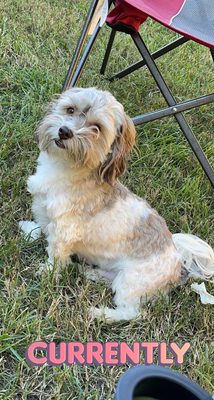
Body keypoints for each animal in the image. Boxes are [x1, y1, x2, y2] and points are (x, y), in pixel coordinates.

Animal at [19, 86, 213, 322]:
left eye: (97, 127)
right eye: (70, 109)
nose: (65, 131)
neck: (66, 167)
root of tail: (178, 266)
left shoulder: (64, 231)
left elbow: (55, 254)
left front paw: (46, 271)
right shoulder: (42, 207)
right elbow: (41, 225)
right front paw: (30, 230)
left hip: (132, 281)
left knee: (132, 312)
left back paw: (101, 314)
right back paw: (92, 273)